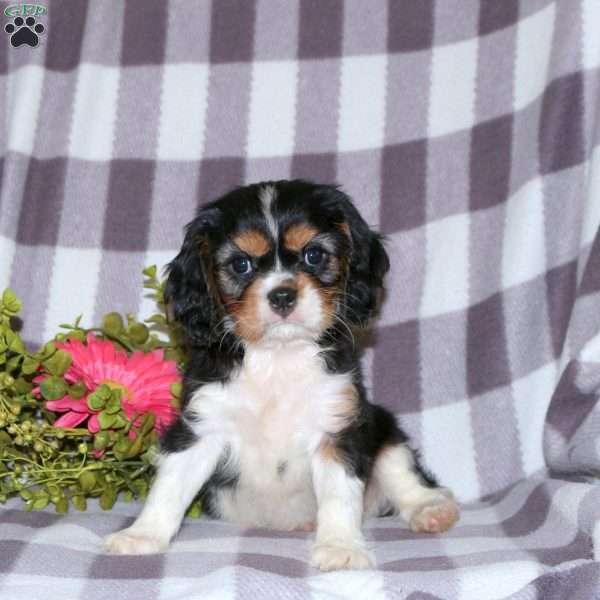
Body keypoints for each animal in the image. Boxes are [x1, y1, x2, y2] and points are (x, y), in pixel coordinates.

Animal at [104, 179, 460, 572]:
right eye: (241, 264)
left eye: (313, 255)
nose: (282, 295)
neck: (278, 355)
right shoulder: (201, 424)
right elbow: (171, 485)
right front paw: (142, 535)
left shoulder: (338, 426)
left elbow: (339, 494)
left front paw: (339, 546)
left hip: (381, 424)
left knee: (403, 471)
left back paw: (430, 509)